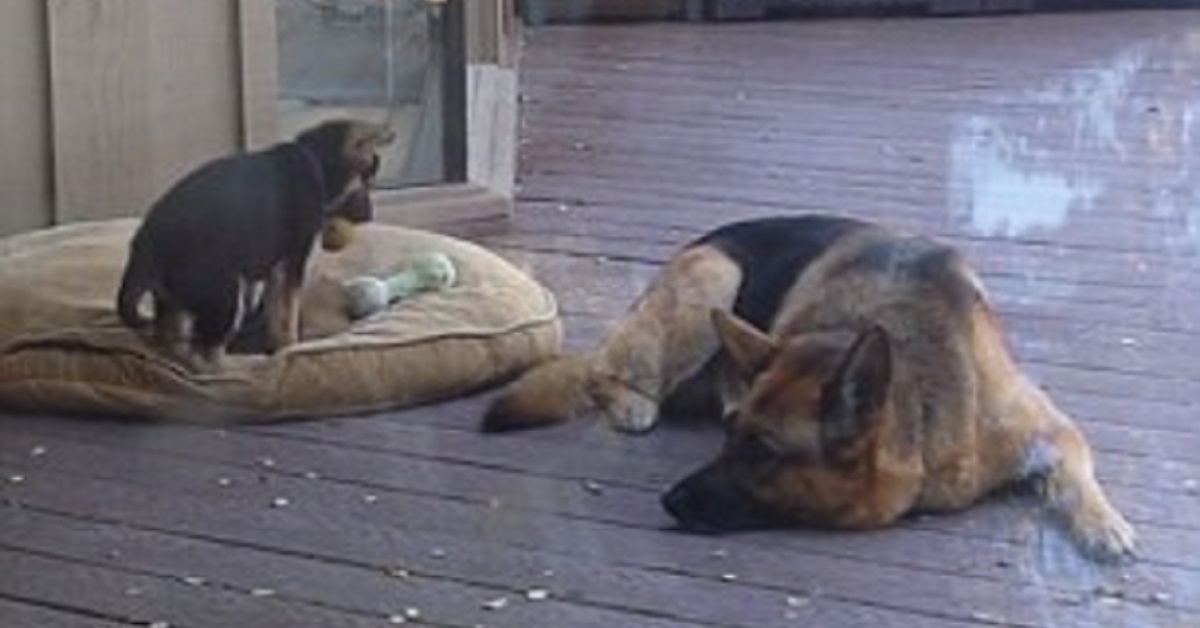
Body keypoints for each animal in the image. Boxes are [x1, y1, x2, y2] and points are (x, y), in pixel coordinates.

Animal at [116, 120, 391, 372]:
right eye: (367, 182)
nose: (370, 215)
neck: (314, 159)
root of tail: (146, 241)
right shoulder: (293, 262)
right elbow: (289, 314)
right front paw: (291, 348)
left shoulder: (274, 269)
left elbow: (274, 313)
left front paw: (279, 348)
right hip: (224, 294)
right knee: (206, 358)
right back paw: (241, 366)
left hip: (175, 299)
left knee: (170, 347)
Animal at [484, 214, 1132, 559]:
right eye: (729, 437)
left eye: (763, 452)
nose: (667, 502)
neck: (923, 413)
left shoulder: (1052, 430)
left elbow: (1076, 472)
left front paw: (1102, 522)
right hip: (714, 275)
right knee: (604, 369)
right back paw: (631, 403)